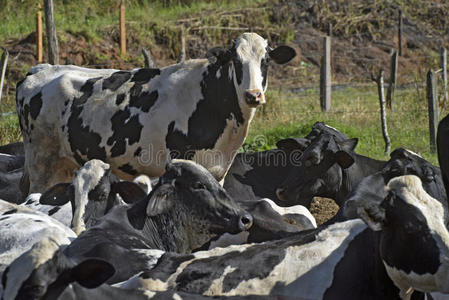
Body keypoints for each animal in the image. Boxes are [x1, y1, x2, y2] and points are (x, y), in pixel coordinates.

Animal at [17, 32, 296, 197]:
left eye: (266, 61)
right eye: (236, 62)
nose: (253, 95)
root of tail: (40, 69)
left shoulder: (220, 171)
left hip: (64, 163)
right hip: (41, 162)